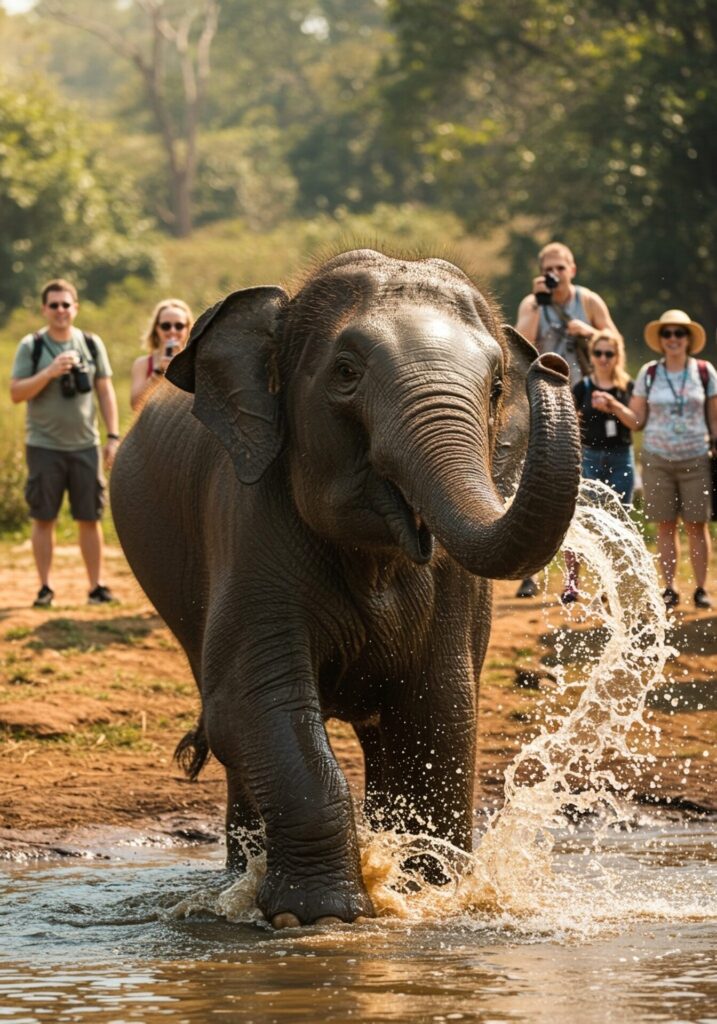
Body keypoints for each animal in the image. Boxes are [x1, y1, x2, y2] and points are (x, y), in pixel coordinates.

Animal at [110, 248, 580, 928]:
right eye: (346, 373)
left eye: (495, 387)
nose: (556, 365)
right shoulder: (249, 527)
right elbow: (256, 703)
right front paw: (318, 917)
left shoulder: (453, 588)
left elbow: (437, 712)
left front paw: (431, 898)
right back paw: (237, 886)